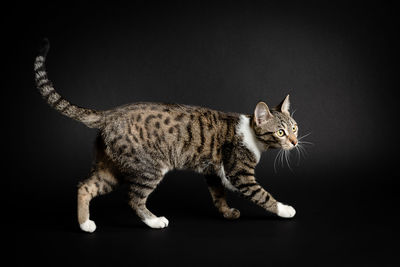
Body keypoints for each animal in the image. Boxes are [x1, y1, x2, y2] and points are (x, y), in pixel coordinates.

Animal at [33, 39, 296, 232]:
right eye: (280, 132)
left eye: (294, 128)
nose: (294, 142)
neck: (252, 136)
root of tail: (109, 114)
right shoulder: (239, 174)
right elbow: (262, 195)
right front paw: (285, 209)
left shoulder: (213, 171)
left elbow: (218, 195)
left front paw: (227, 212)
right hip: (149, 167)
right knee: (133, 198)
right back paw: (154, 221)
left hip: (111, 167)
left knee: (85, 186)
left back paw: (85, 224)